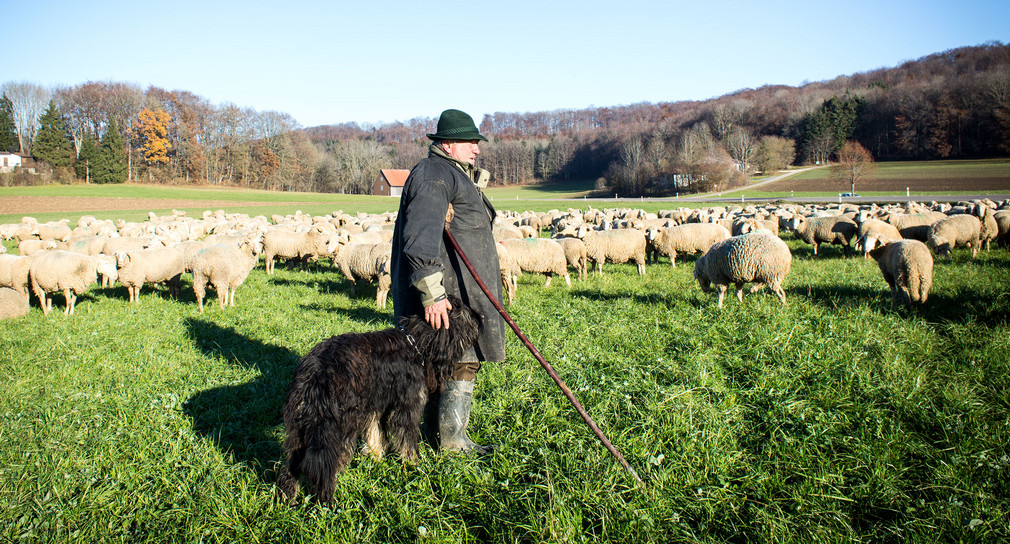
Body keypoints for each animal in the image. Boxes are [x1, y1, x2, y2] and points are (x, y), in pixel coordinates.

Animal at [276, 296, 480, 504]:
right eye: (465, 314)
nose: (479, 319)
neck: (415, 342)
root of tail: (318, 371)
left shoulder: (376, 406)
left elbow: (375, 432)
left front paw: (376, 457)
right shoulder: (407, 406)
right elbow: (407, 439)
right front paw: (413, 464)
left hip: (302, 425)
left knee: (292, 464)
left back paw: (287, 497)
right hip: (338, 424)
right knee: (328, 463)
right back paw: (327, 500)